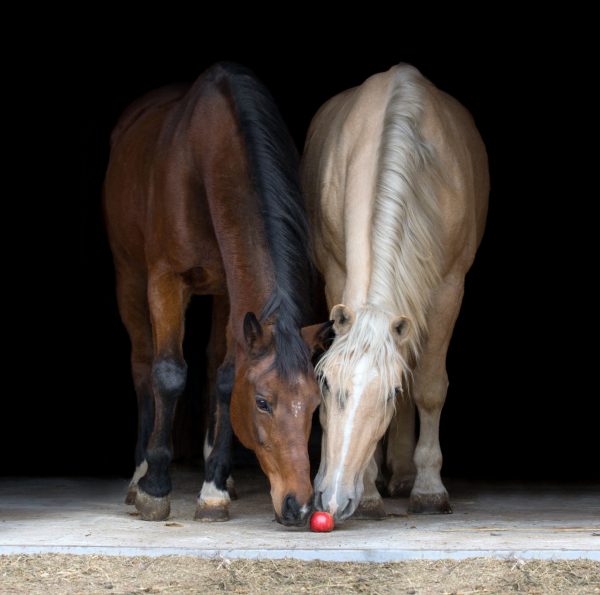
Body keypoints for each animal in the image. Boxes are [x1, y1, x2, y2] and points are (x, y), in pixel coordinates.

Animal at [105, 61, 326, 528]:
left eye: (315, 404)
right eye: (262, 402)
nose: (299, 506)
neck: (205, 162)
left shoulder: (230, 289)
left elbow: (224, 379)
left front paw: (214, 489)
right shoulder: (166, 280)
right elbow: (168, 373)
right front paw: (155, 486)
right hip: (129, 278)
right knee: (142, 363)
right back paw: (139, 473)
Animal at [302, 64, 490, 520]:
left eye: (388, 393)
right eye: (326, 384)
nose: (332, 499)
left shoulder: (448, 289)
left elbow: (428, 387)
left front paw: (429, 488)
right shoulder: (336, 275)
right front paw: (369, 492)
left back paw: (404, 477)